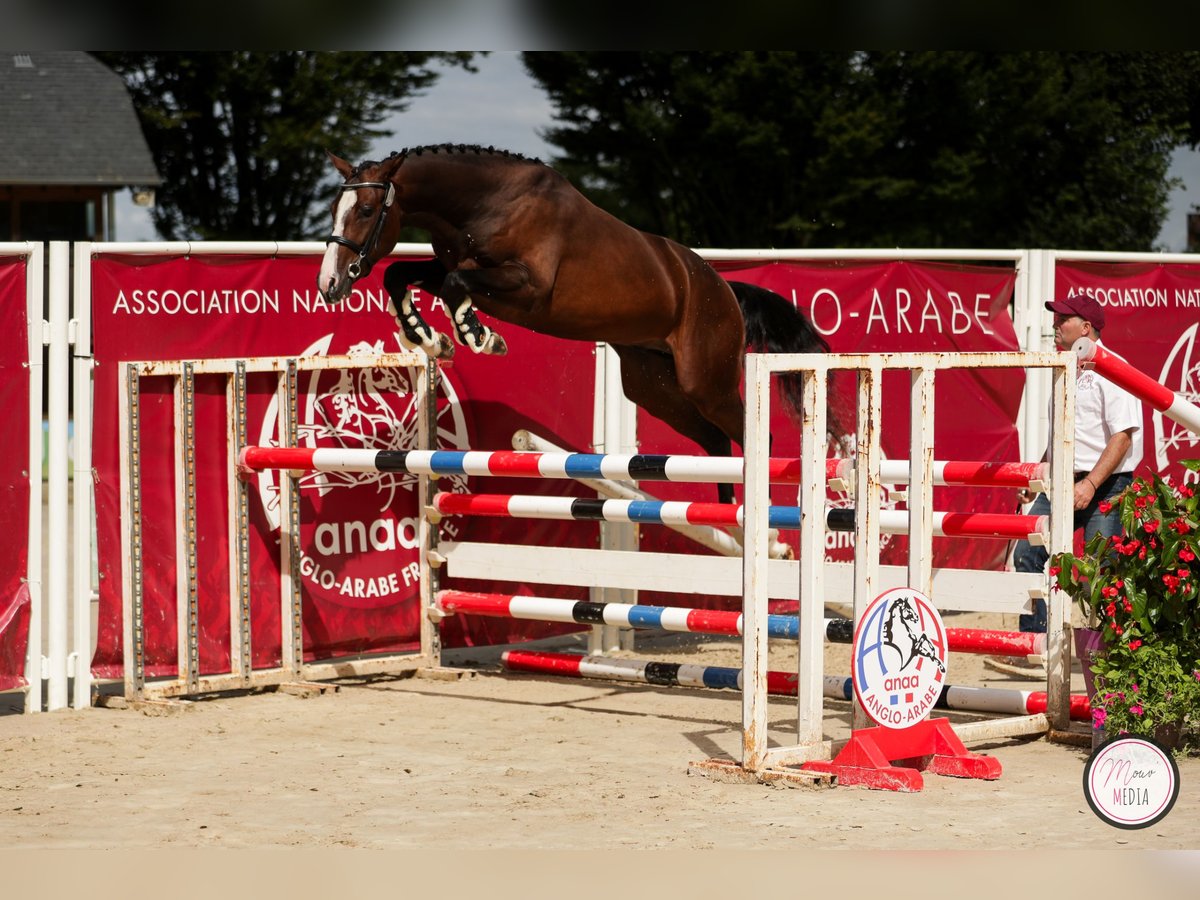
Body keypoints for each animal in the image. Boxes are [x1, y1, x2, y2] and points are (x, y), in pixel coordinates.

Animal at [324, 144, 840, 504]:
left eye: (366, 211)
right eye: (334, 211)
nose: (329, 283)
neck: (488, 202)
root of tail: (726, 290)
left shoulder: (527, 288)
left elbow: (454, 283)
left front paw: (479, 336)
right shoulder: (454, 264)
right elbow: (401, 273)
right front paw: (430, 340)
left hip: (705, 383)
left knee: (756, 437)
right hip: (652, 385)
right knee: (714, 439)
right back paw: (730, 519)